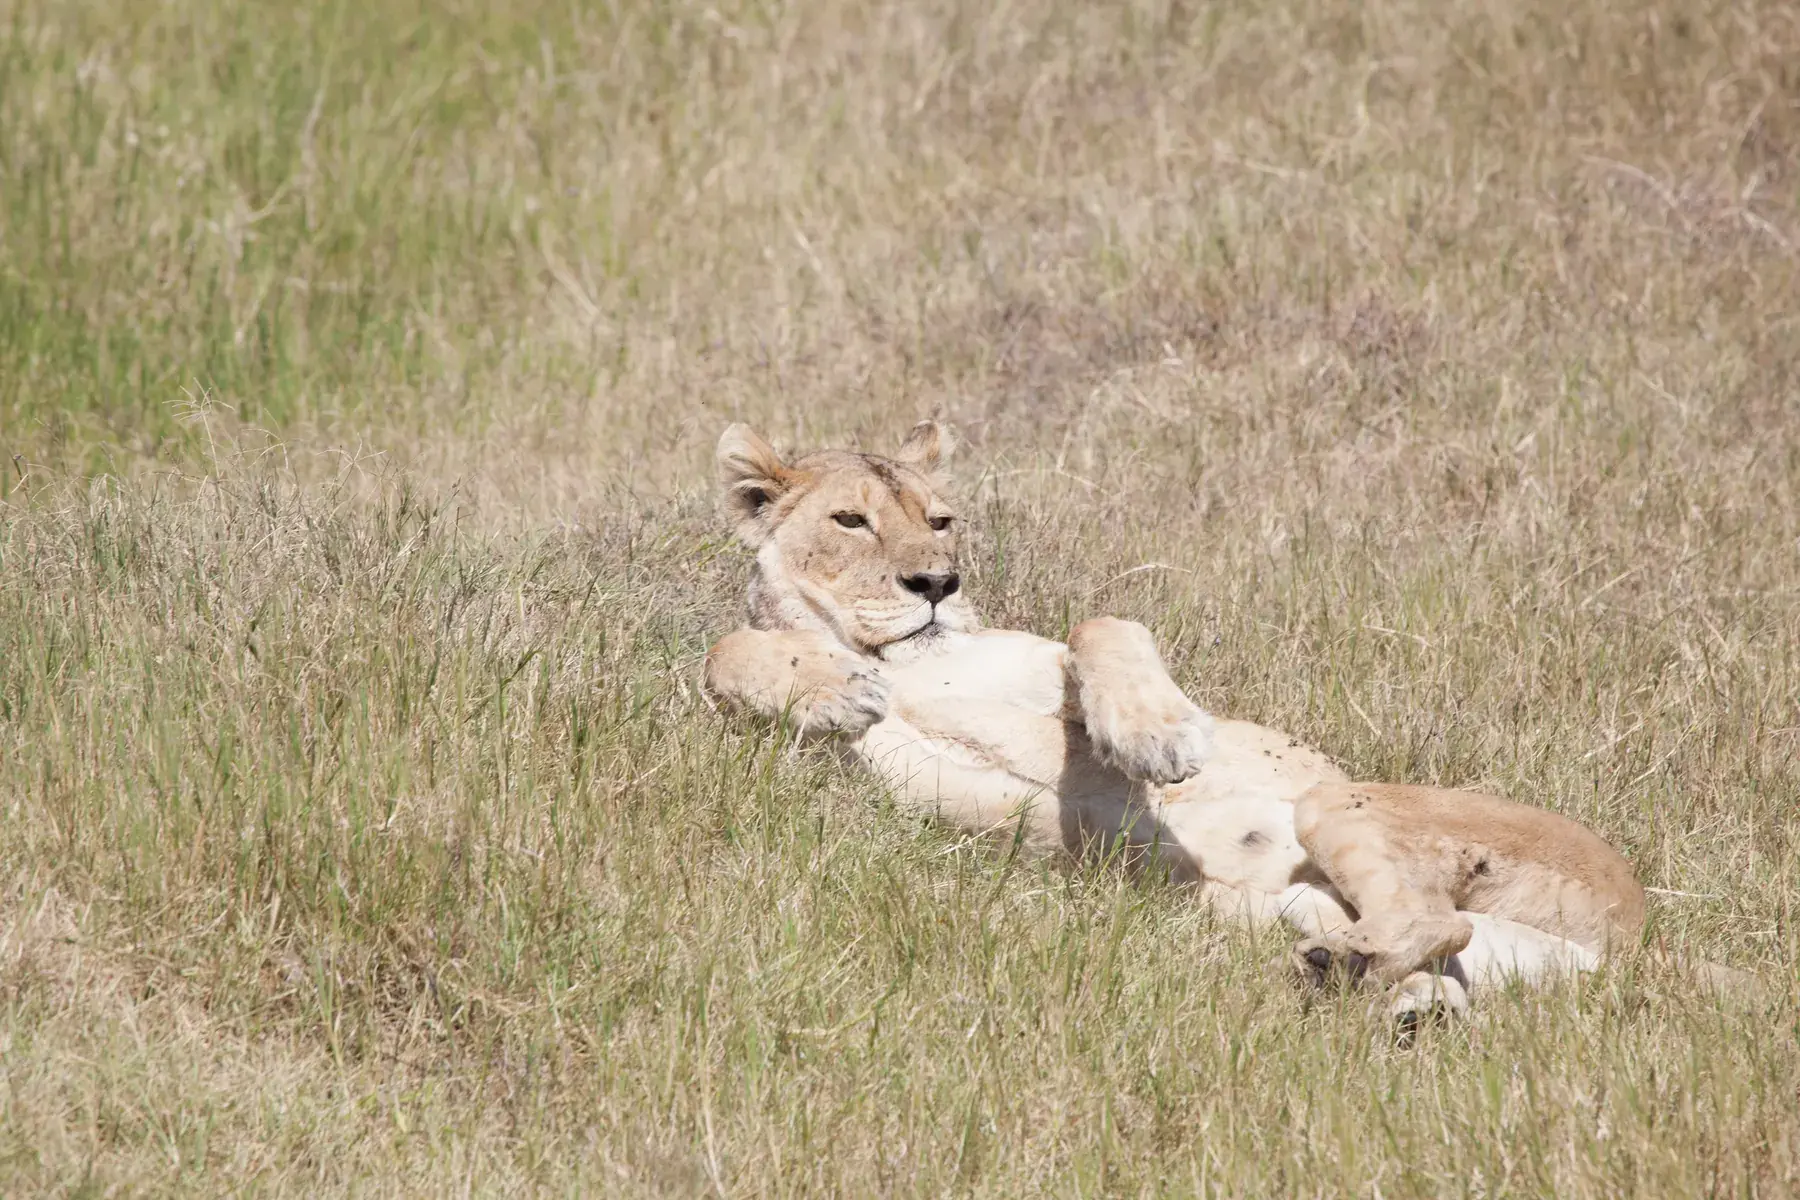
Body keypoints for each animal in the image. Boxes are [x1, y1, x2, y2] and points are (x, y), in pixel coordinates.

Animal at [701, 421, 1648, 1025]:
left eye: (940, 520)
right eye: (850, 520)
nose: (937, 582)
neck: (902, 661)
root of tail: (1637, 917)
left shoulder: (1058, 655)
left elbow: (1104, 626)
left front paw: (1161, 736)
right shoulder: (818, 777)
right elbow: (723, 652)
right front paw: (827, 687)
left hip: (1340, 803)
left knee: (1436, 916)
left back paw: (1361, 972)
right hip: (1294, 909)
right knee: (1439, 952)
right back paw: (1393, 995)